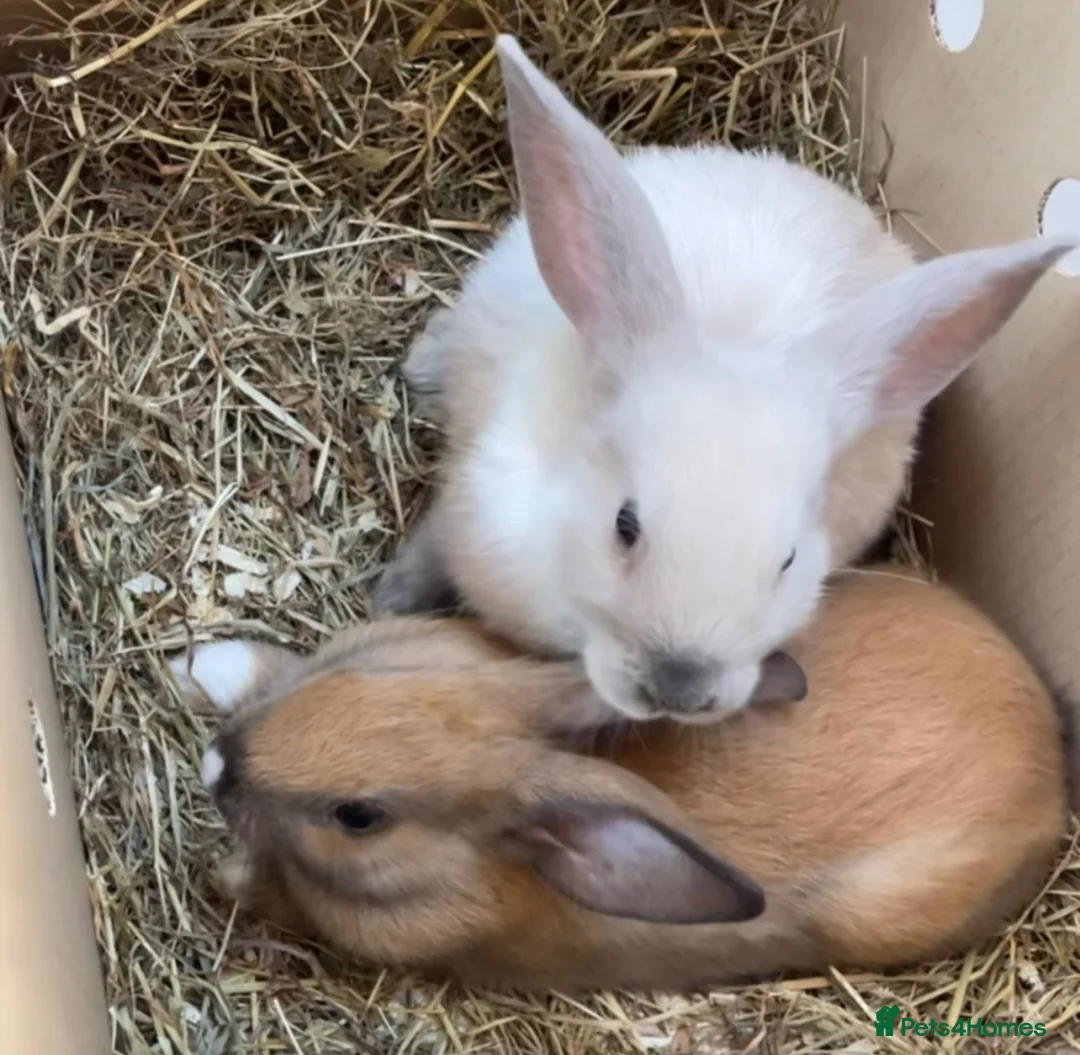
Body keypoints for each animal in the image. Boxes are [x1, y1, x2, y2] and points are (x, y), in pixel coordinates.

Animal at [172, 566, 1068, 994]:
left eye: (359, 815)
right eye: (370, 672)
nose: (220, 763)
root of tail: (1051, 756)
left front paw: (225, 871)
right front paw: (203, 665)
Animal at [372, 34, 1077, 725]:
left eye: (788, 559)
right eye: (624, 525)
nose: (679, 687)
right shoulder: (473, 498)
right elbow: (431, 546)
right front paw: (389, 597)